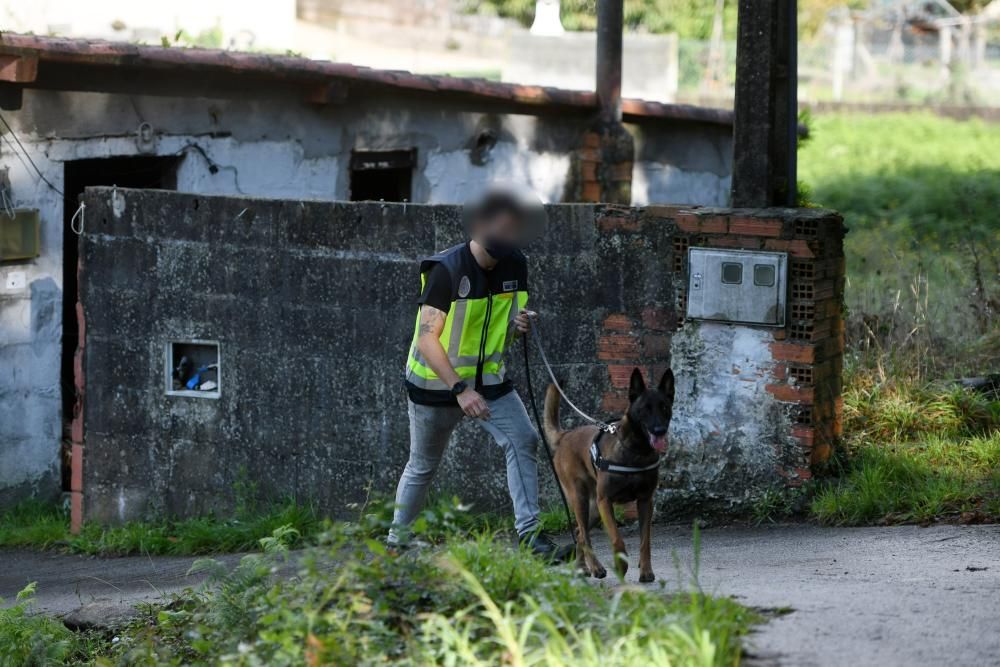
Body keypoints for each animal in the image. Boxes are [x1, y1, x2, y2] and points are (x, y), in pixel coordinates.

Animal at [544, 368, 676, 580]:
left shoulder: (645, 501)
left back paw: (582, 567)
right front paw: (621, 565)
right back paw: (595, 567)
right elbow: (616, 539)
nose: (659, 430)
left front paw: (646, 570)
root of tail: (565, 436)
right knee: (584, 534)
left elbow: (645, 540)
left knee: (579, 532)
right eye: (645, 409)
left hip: (595, 509)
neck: (636, 450)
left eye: (664, 407)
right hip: (581, 499)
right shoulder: (605, 501)